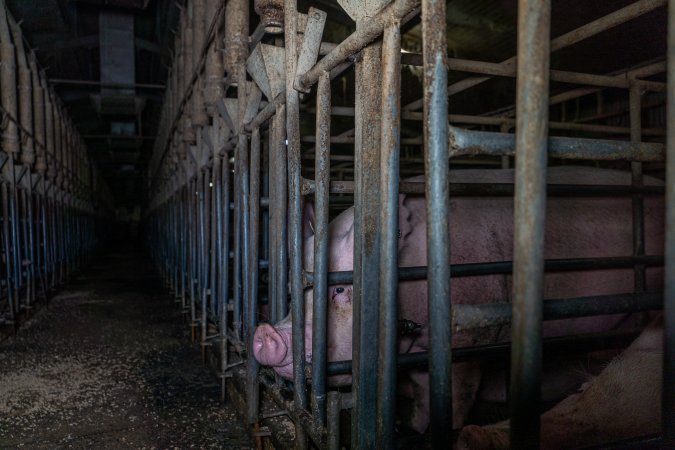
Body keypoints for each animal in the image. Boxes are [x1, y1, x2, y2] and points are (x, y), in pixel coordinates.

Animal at [251, 165, 664, 432]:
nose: (265, 334)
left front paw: (434, 430)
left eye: (339, 289)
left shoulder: (467, 339)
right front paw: (415, 425)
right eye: (293, 291)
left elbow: (452, 393)